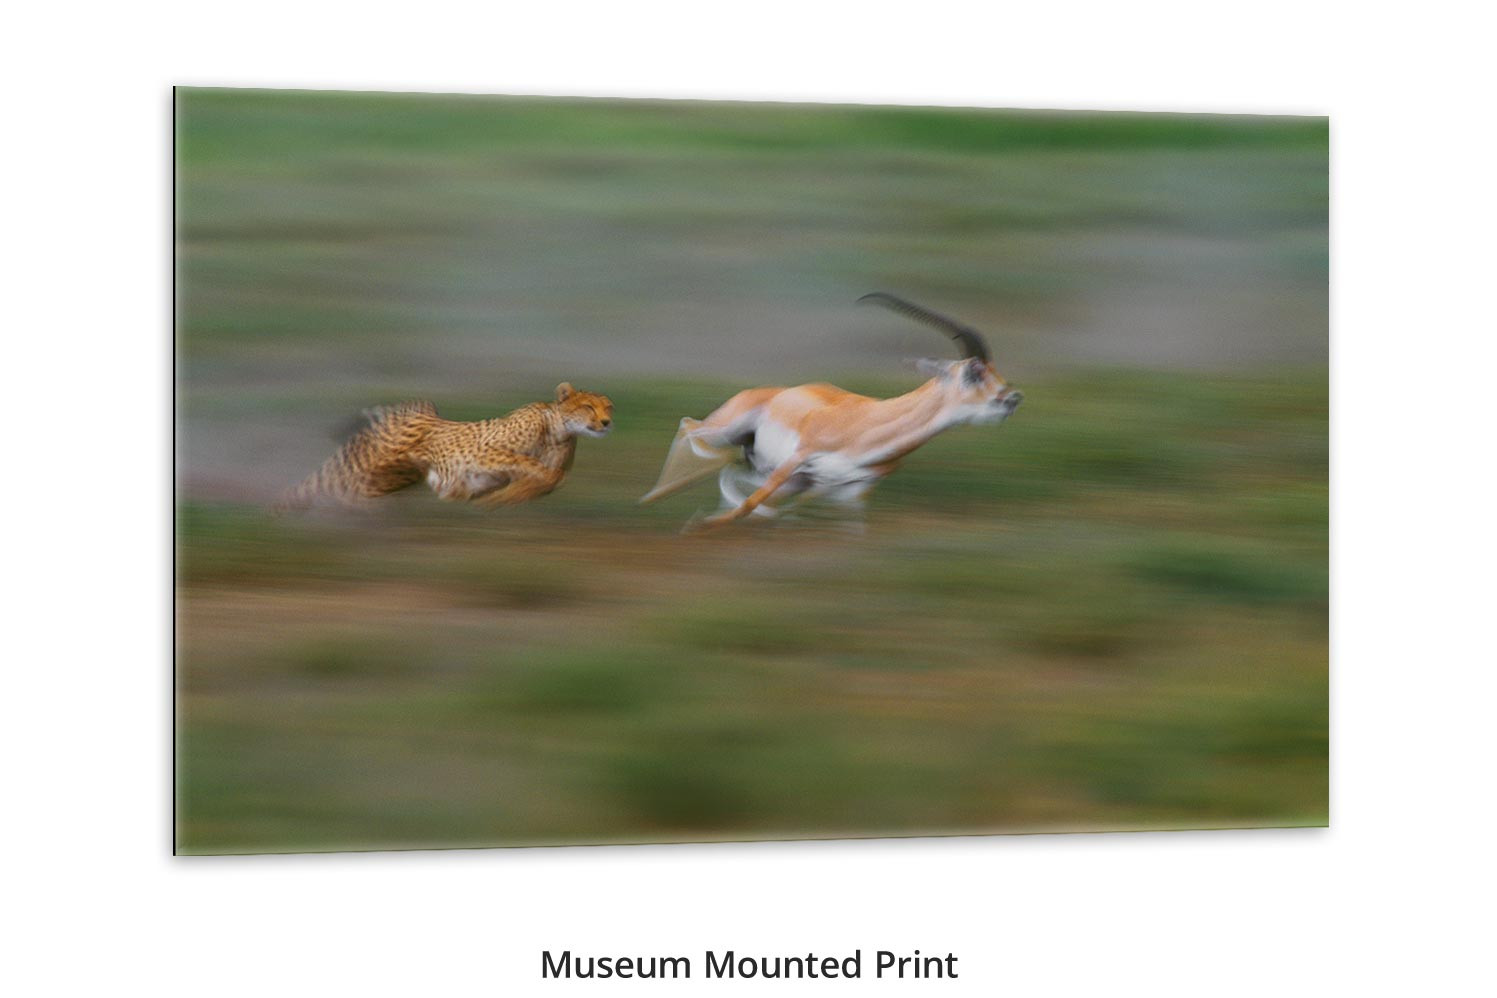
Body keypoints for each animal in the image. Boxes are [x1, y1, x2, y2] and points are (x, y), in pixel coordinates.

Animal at [275, 382, 613, 512]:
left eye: (608, 406)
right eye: (588, 406)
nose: (607, 422)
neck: (558, 430)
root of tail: (422, 408)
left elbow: (541, 481)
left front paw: (496, 500)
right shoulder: (485, 451)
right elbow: (541, 469)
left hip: (388, 477)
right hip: (368, 464)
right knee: (317, 484)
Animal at [640, 293, 1024, 530]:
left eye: (996, 371)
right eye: (974, 371)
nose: (1012, 398)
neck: (866, 425)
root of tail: (776, 392)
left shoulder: (846, 490)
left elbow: (851, 527)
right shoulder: (798, 459)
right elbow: (748, 506)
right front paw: (700, 525)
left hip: (776, 473)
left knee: (727, 468)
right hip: (729, 432)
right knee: (689, 427)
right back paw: (651, 498)